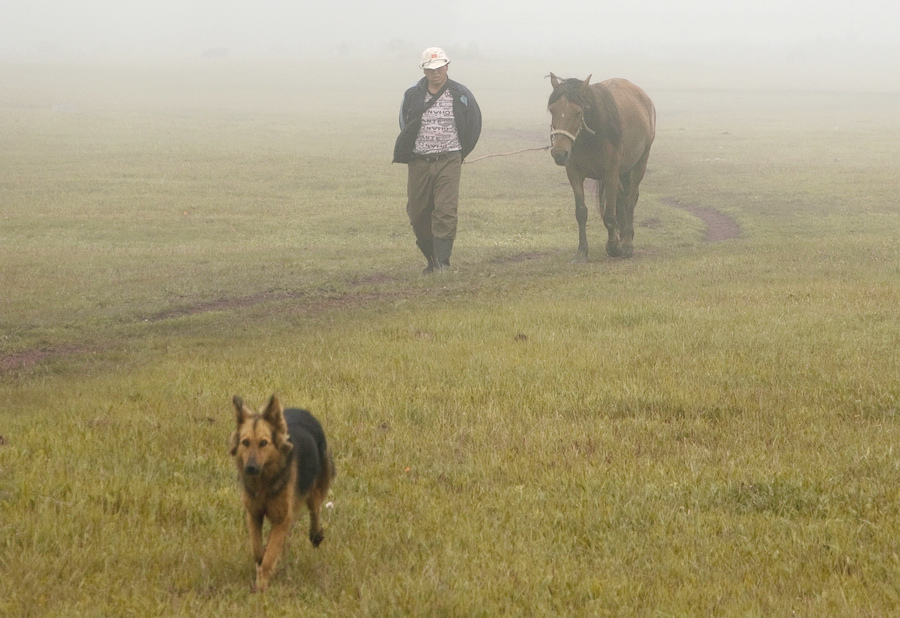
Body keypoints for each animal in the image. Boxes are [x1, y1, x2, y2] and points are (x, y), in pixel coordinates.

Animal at [229, 392, 334, 588]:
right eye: (245, 442)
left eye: (264, 443)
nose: (250, 468)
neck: (264, 483)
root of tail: (304, 412)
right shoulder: (253, 513)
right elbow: (257, 548)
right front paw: (262, 562)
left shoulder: (282, 518)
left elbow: (270, 554)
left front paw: (262, 583)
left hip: (315, 489)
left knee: (314, 509)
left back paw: (316, 535)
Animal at [548, 74, 652, 260]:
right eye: (552, 110)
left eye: (578, 112)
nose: (559, 153)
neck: (591, 139)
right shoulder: (574, 174)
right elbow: (581, 212)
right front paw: (582, 251)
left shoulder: (610, 174)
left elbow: (609, 214)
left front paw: (614, 247)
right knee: (622, 198)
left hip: (641, 162)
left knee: (630, 198)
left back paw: (627, 244)